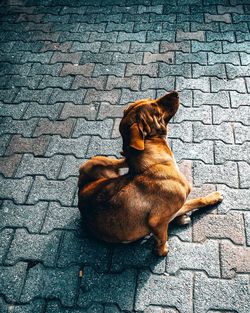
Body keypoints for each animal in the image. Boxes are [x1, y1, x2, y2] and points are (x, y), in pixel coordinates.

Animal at [78, 89, 223, 255]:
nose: (175, 92)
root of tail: (80, 190)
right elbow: (163, 241)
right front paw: (163, 247)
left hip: (94, 161)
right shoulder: (158, 219)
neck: (153, 161)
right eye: (154, 106)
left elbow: (193, 202)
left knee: (122, 159)